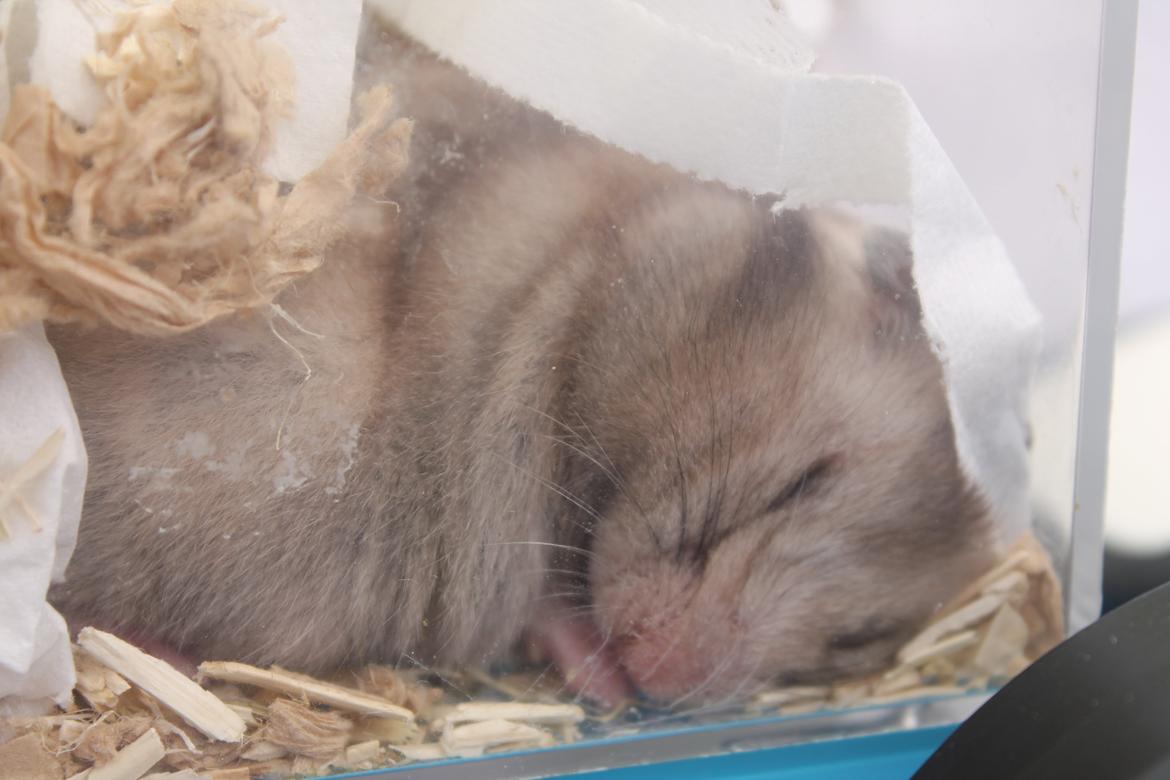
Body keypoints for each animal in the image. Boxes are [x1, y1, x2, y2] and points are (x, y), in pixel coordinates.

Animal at [46, 21, 996, 706]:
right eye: (801, 483)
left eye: (854, 638)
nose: (656, 682)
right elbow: (544, 588)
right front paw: (600, 677)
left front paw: (607, 683)